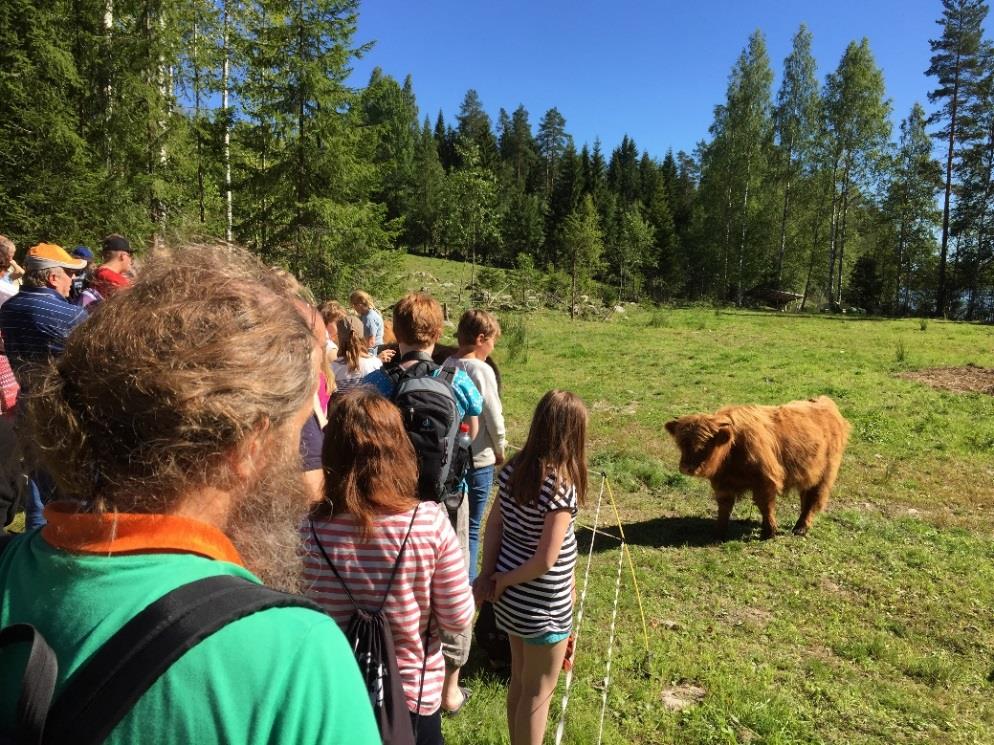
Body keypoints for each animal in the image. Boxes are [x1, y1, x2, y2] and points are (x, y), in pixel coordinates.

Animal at [664, 398, 848, 536]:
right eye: (680, 444)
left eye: (704, 445)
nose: (687, 467)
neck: (732, 450)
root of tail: (826, 403)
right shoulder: (723, 483)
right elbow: (724, 506)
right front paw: (719, 531)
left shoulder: (765, 480)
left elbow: (765, 505)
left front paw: (769, 532)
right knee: (806, 497)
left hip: (825, 474)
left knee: (813, 499)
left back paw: (800, 528)